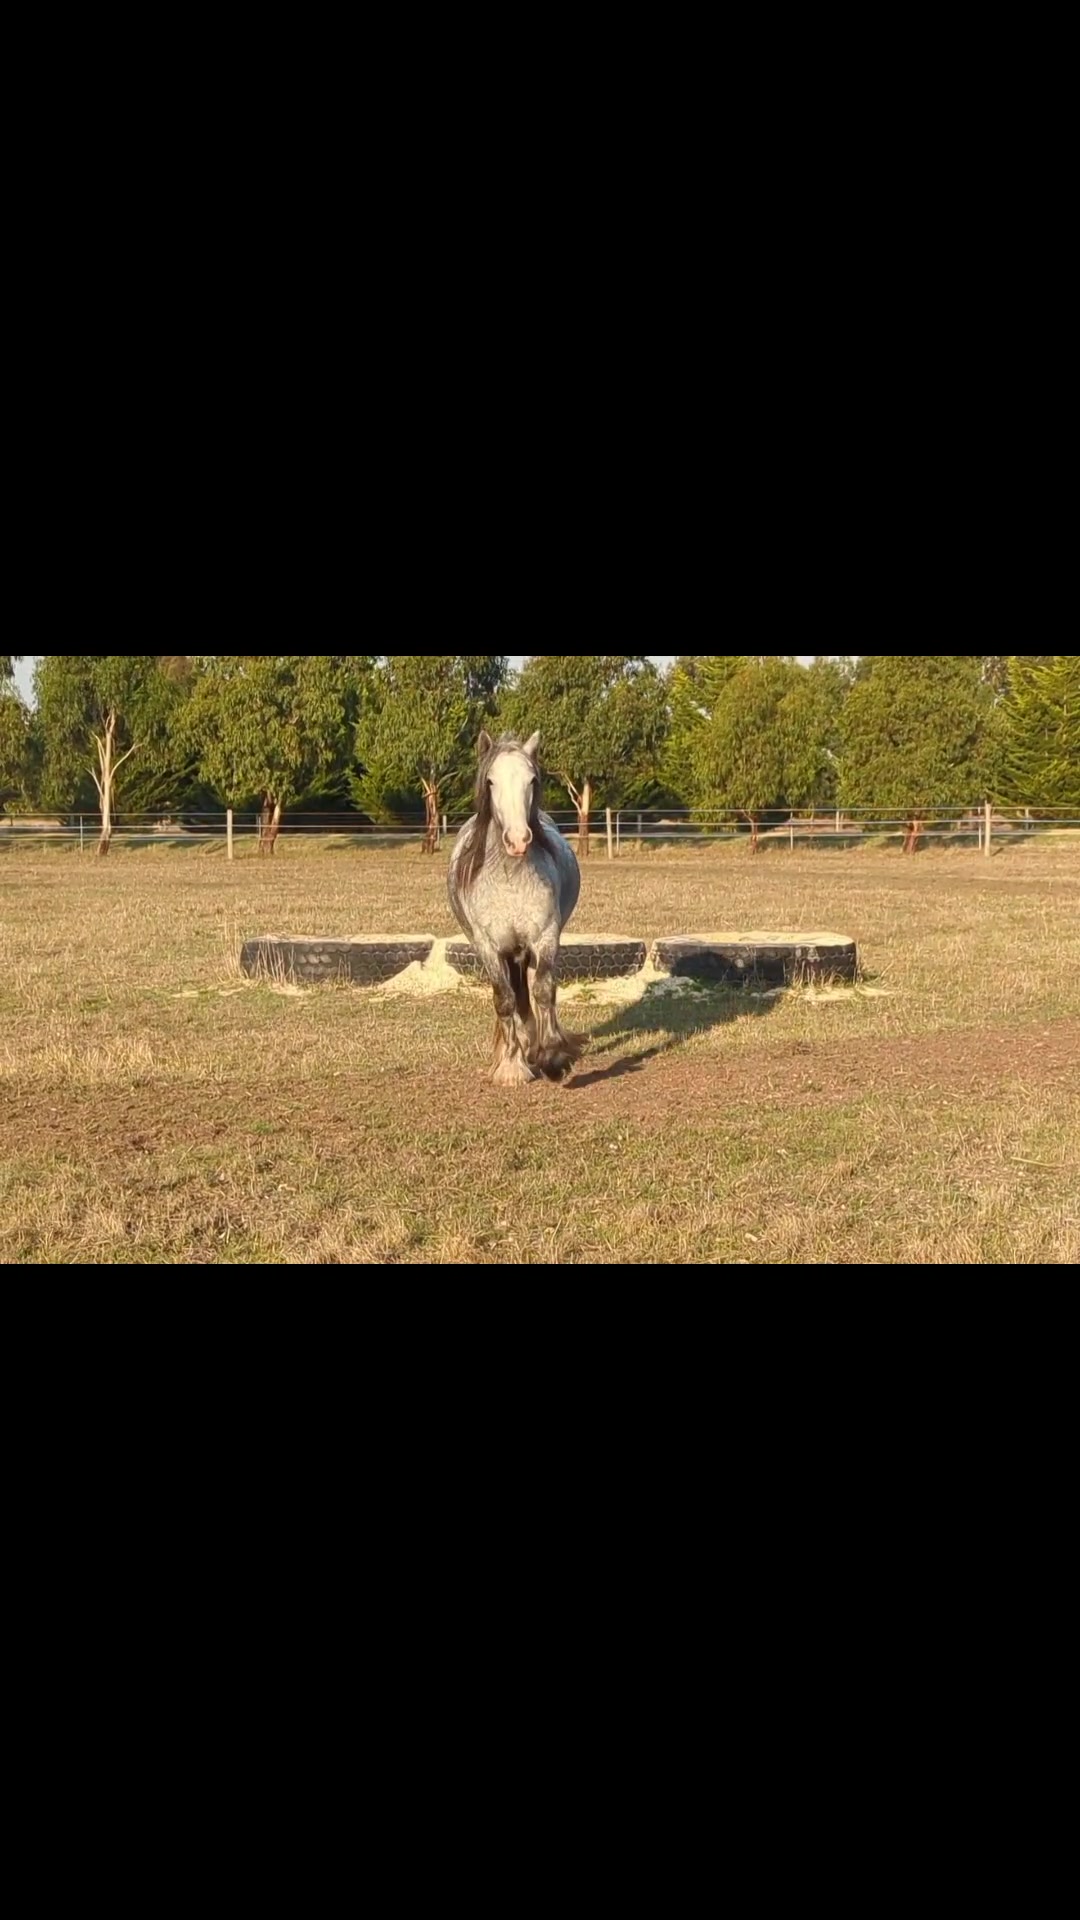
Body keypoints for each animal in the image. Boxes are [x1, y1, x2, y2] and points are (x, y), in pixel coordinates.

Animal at [448, 731, 587, 1086]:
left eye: (531, 780)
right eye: (491, 781)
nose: (518, 840)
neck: (510, 876)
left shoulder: (545, 937)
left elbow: (544, 992)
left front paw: (552, 1058)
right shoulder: (488, 946)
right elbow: (505, 999)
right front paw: (512, 1066)